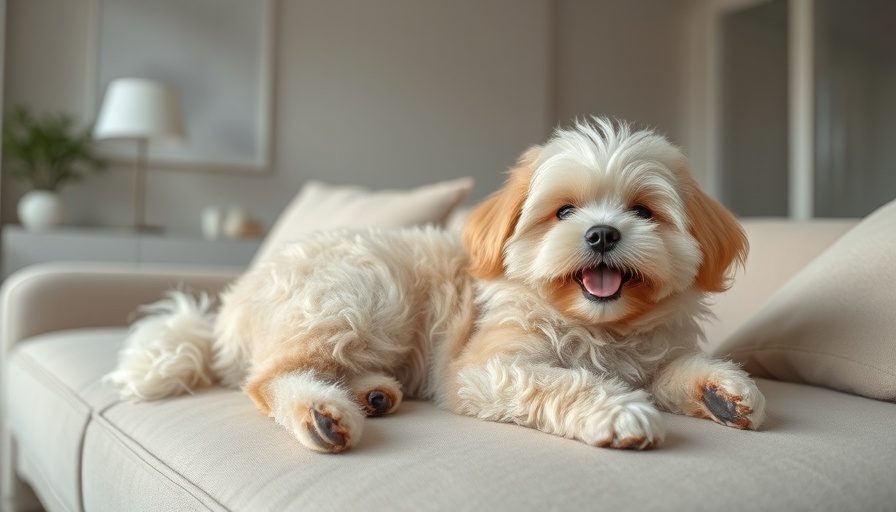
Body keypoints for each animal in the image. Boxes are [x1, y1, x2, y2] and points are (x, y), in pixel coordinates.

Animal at [105, 119, 764, 452]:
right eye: (564, 212)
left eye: (644, 212)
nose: (602, 234)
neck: (599, 328)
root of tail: (226, 313)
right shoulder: (483, 368)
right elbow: (560, 381)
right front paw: (619, 411)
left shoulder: (652, 350)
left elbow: (671, 368)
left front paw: (723, 389)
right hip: (358, 296)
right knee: (266, 379)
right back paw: (322, 414)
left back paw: (369, 394)